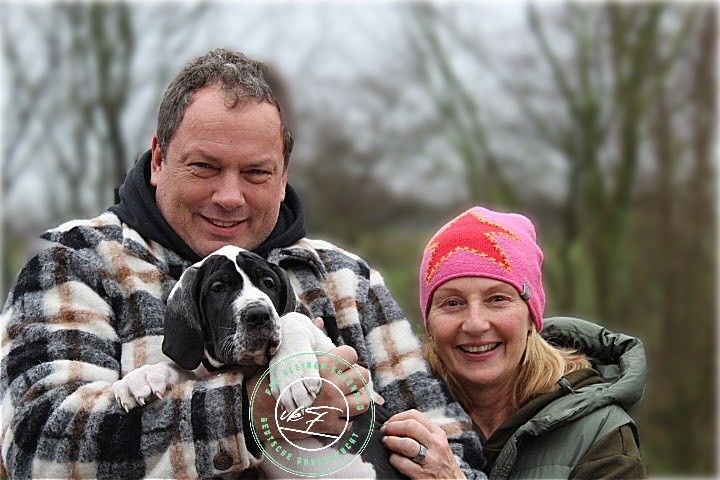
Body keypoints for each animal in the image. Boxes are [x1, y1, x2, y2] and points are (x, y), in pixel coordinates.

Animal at [112, 245, 402, 478]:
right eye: (218, 288)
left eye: (268, 283)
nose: (258, 315)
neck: (247, 364)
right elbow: (184, 371)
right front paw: (141, 377)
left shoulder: (337, 354)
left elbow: (292, 318)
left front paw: (293, 378)